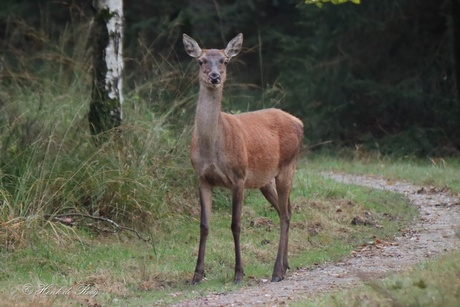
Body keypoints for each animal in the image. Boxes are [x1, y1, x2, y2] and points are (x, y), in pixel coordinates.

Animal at [183, 32, 306, 286]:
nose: (214, 77)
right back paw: (285, 265)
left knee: (285, 214)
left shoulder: (238, 176)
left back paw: (277, 271)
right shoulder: (202, 178)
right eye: (200, 61)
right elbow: (204, 225)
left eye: (224, 61)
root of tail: (300, 122)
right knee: (286, 210)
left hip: (288, 166)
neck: (212, 146)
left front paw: (239, 273)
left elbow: (236, 224)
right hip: (265, 180)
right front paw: (197, 274)